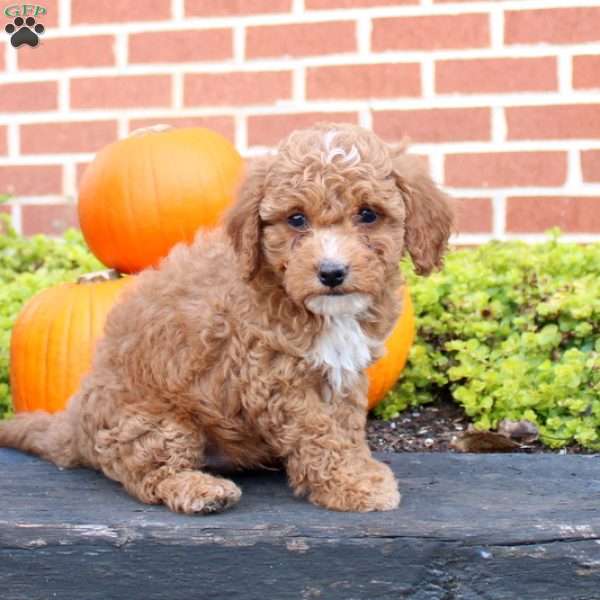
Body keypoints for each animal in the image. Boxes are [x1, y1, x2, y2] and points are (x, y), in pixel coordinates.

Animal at [0, 123, 450, 516]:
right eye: (296, 219)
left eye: (368, 214)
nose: (332, 272)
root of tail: (75, 424)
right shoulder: (274, 377)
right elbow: (320, 434)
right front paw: (350, 485)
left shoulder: (343, 373)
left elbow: (346, 426)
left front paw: (360, 469)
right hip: (154, 423)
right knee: (146, 474)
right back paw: (202, 490)